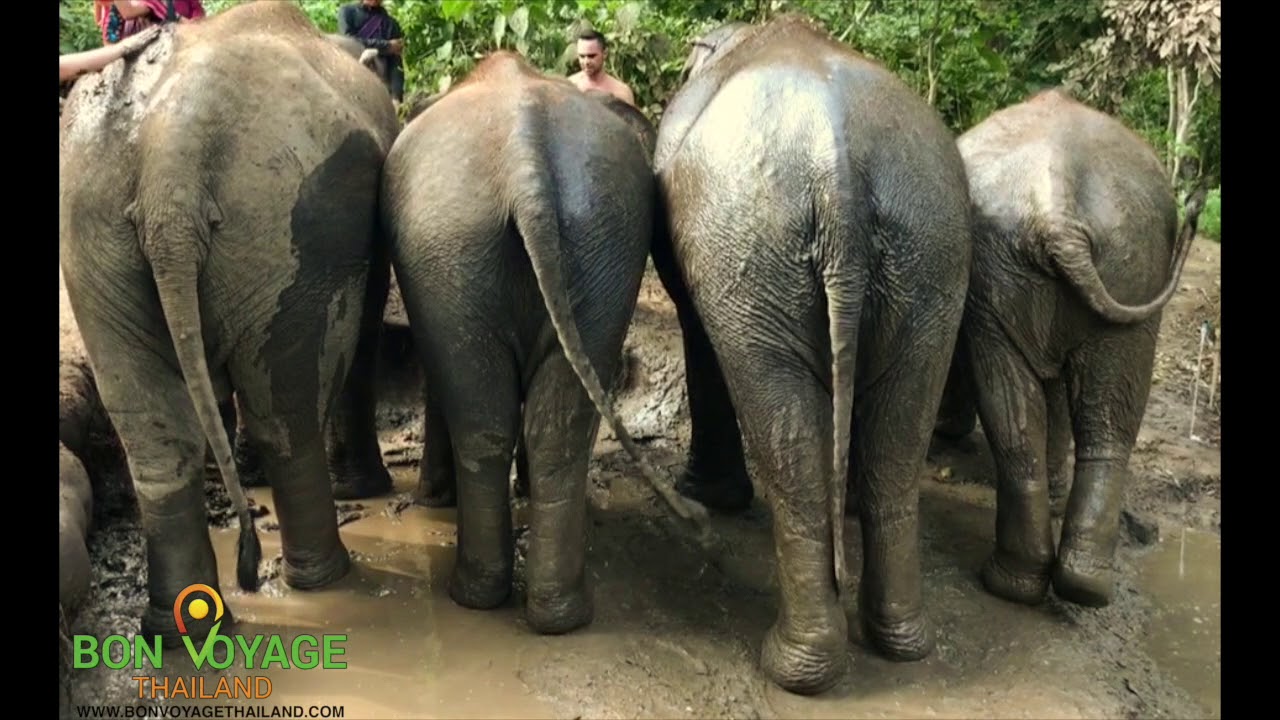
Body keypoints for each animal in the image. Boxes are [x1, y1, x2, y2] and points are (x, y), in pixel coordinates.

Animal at [58, 1, 400, 645]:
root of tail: (172, 147)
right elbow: (362, 337)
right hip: (287, 221)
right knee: (286, 409)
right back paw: (321, 579)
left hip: (93, 232)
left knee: (155, 431)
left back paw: (180, 628)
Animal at [381, 51, 691, 634]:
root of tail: (525, 163)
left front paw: (435, 500)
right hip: (592, 241)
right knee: (550, 429)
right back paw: (556, 614)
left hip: (471, 241)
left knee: (486, 420)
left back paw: (480, 597)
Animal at [652, 15, 973, 694]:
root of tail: (838, 170)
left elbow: (699, 335)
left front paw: (703, 492)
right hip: (931, 248)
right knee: (900, 433)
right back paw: (900, 642)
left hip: (751, 247)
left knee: (785, 424)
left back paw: (792, 669)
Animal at [932, 89, 1208, 608]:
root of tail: (1057, 210)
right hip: (1127, 265)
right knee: (1096, 410)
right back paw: (1077, 586)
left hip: (1096, 262)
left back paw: (1024, 583)